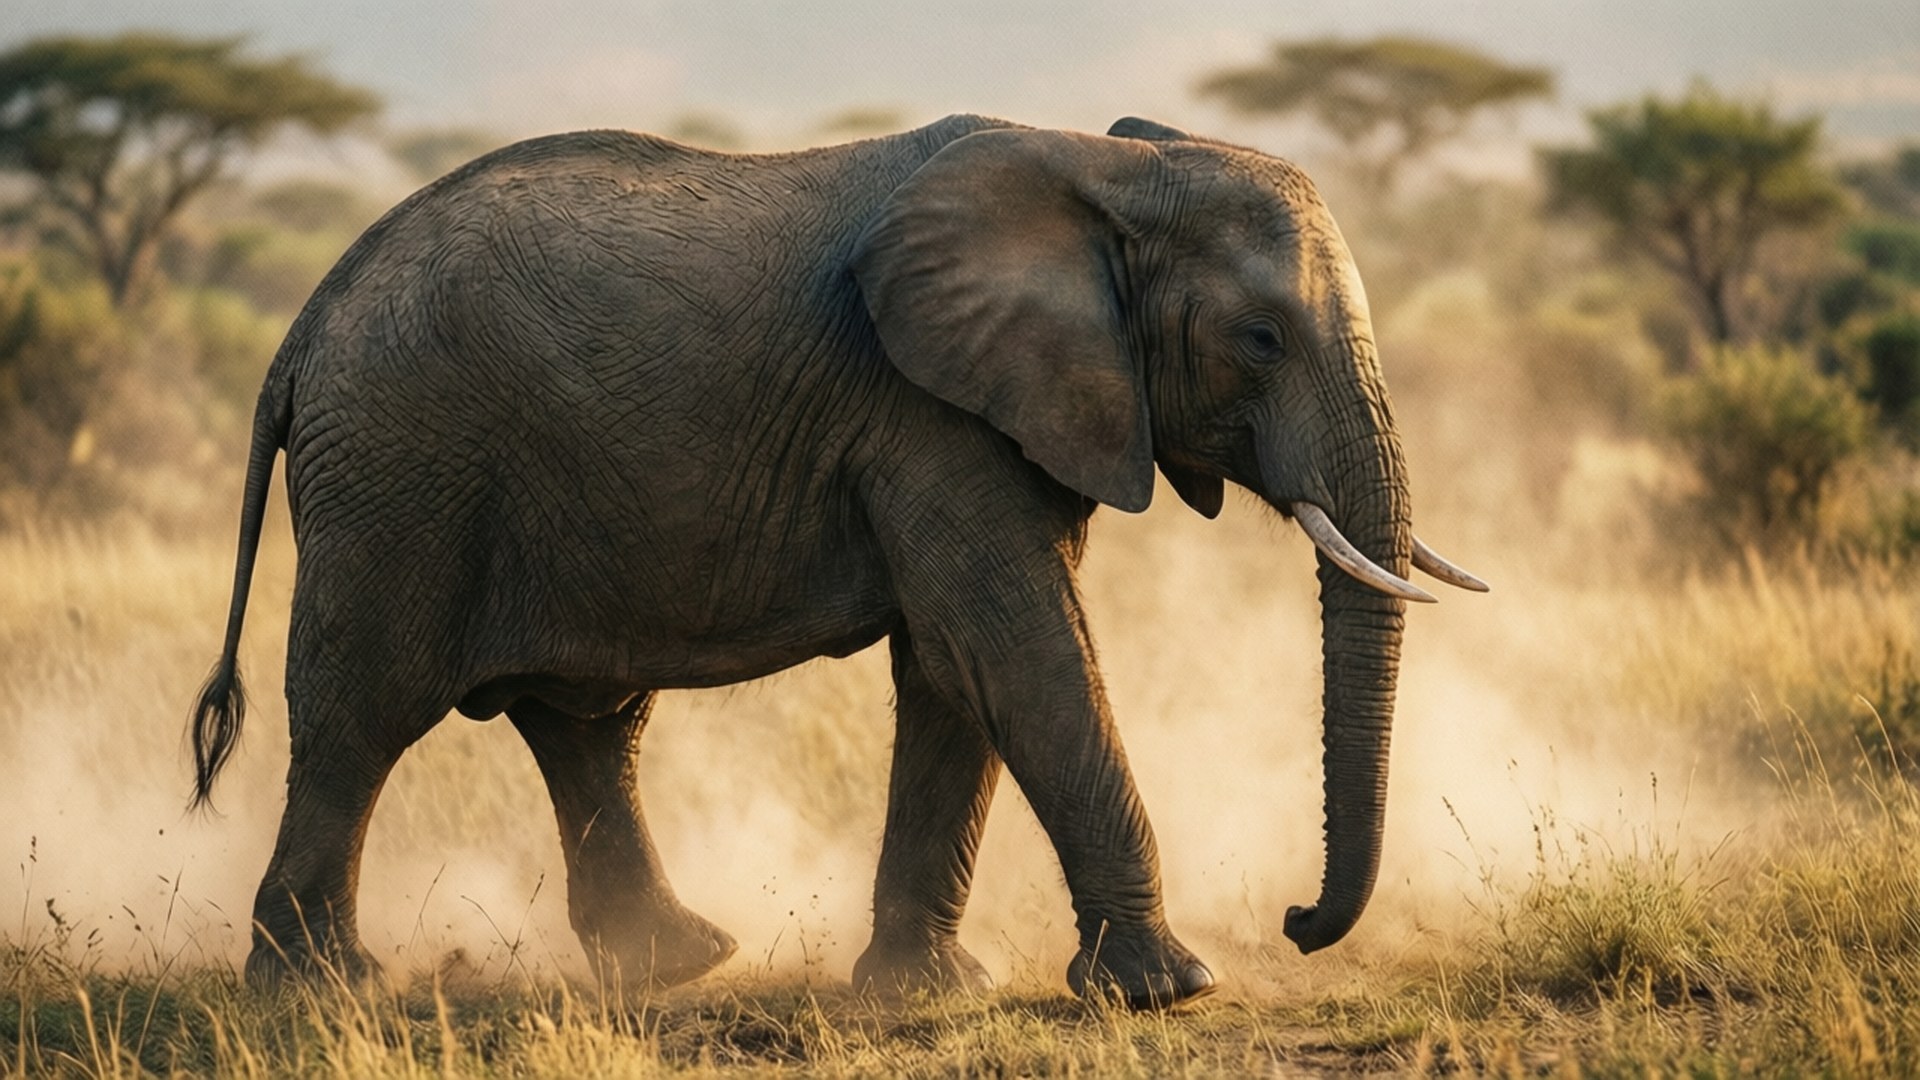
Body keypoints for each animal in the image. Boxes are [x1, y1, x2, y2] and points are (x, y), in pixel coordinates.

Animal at [187, 112, 1485, 1010]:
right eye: (1261, 339)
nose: (1298, 918)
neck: (1103, 169)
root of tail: (300, 334)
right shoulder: (931, 414)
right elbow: (1018, 648)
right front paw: (1170, 991)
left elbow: (957, 672)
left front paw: (926, 992)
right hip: (401, 473)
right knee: (364, 713)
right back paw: (329, 988)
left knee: (586, 721)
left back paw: (673, 963)